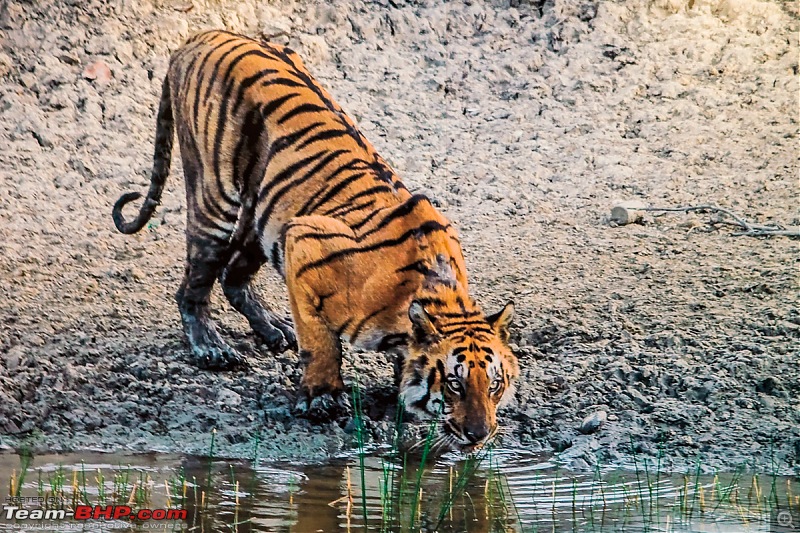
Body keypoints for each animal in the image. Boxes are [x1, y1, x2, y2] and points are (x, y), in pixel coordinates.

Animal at [112, 29, 520, 448]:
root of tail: (204, 33)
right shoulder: (303, 242)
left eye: (494, 385)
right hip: (216, 195)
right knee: (195, 284)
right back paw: (210, 348)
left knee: (232, 275)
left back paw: (274, 329)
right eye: (455, 383)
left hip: (263, 213)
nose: (480, 434)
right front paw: (322, 398)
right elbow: (320, 341)